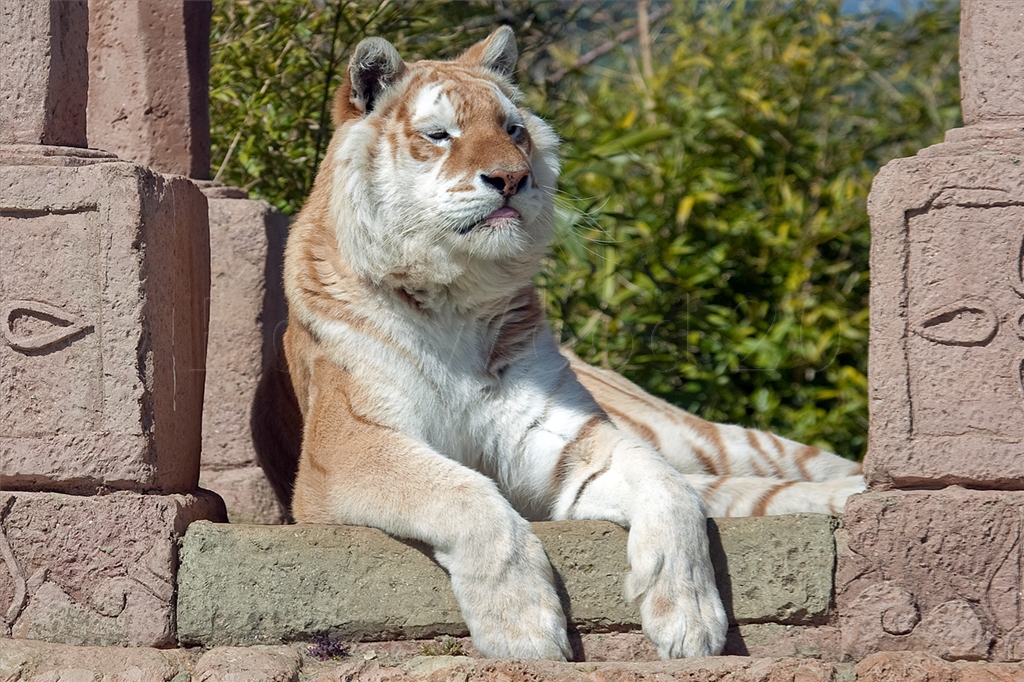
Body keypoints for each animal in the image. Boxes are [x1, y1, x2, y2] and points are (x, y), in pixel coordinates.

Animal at [253, 26, 865, 662]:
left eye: (511, 129)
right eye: (439, 134)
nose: (511, 178)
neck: (453, 297)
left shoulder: (569, 441)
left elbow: (668, 491)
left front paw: (688, 617)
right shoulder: (347, 453)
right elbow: (466, 494)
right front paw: (523, 629)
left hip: (701, 436)